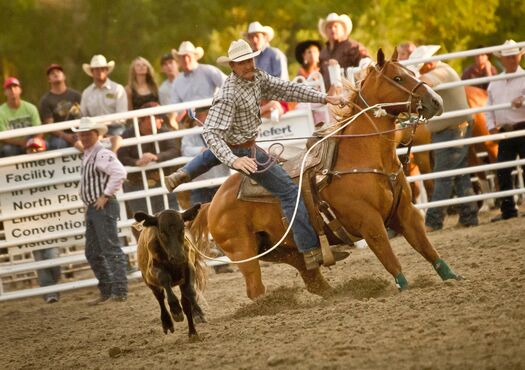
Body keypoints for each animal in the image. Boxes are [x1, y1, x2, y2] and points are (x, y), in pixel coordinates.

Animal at [190, 49, 460, 300]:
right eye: (398, 77)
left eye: (411, 72)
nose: (436, 101)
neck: (362, 156)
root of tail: (212, 202)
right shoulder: (370, 223)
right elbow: (390, 260)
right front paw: (403, 288)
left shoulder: (406, 214)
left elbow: (427, 249)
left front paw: (453, 278)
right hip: (245, 254)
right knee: (256, 289)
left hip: (283, 250)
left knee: (311, 279)